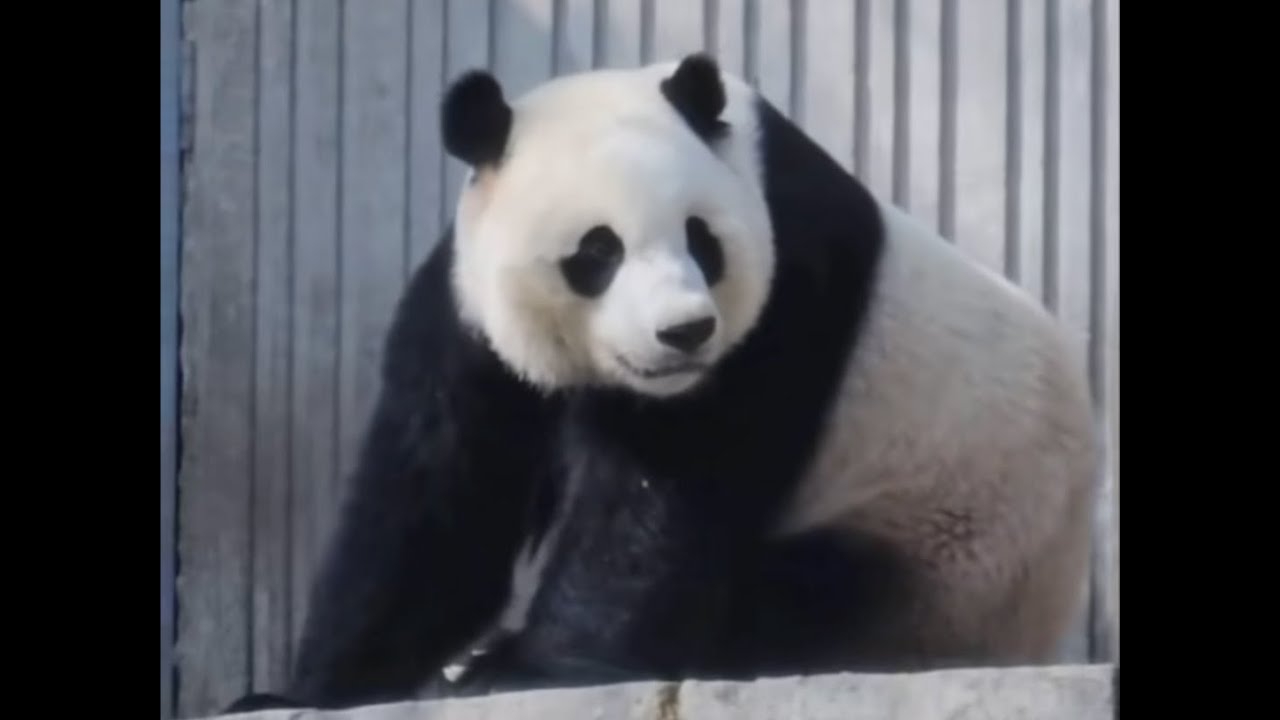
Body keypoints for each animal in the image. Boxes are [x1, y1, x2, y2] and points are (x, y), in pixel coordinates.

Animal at [224, 54, 1101, 714]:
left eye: (701, 239)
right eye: (597, 251)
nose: (684, 333)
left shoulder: (784, 295)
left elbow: (662, 497)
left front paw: (527, 669)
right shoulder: (470, 311)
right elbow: (441, 489)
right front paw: (305, 689)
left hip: (943, 541)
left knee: (802, 596)